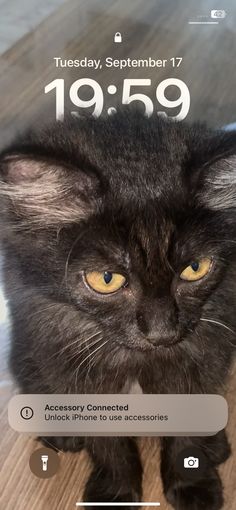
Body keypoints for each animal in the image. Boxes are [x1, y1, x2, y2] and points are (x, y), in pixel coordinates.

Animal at [0, 111, 236, 510]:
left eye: (195, 268)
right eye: (106, 279)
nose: (162, 332)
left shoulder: (202, 361)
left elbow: (185, 434)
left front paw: (194, 484)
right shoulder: (75, 374)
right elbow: (110, 446)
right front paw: (114, 492)